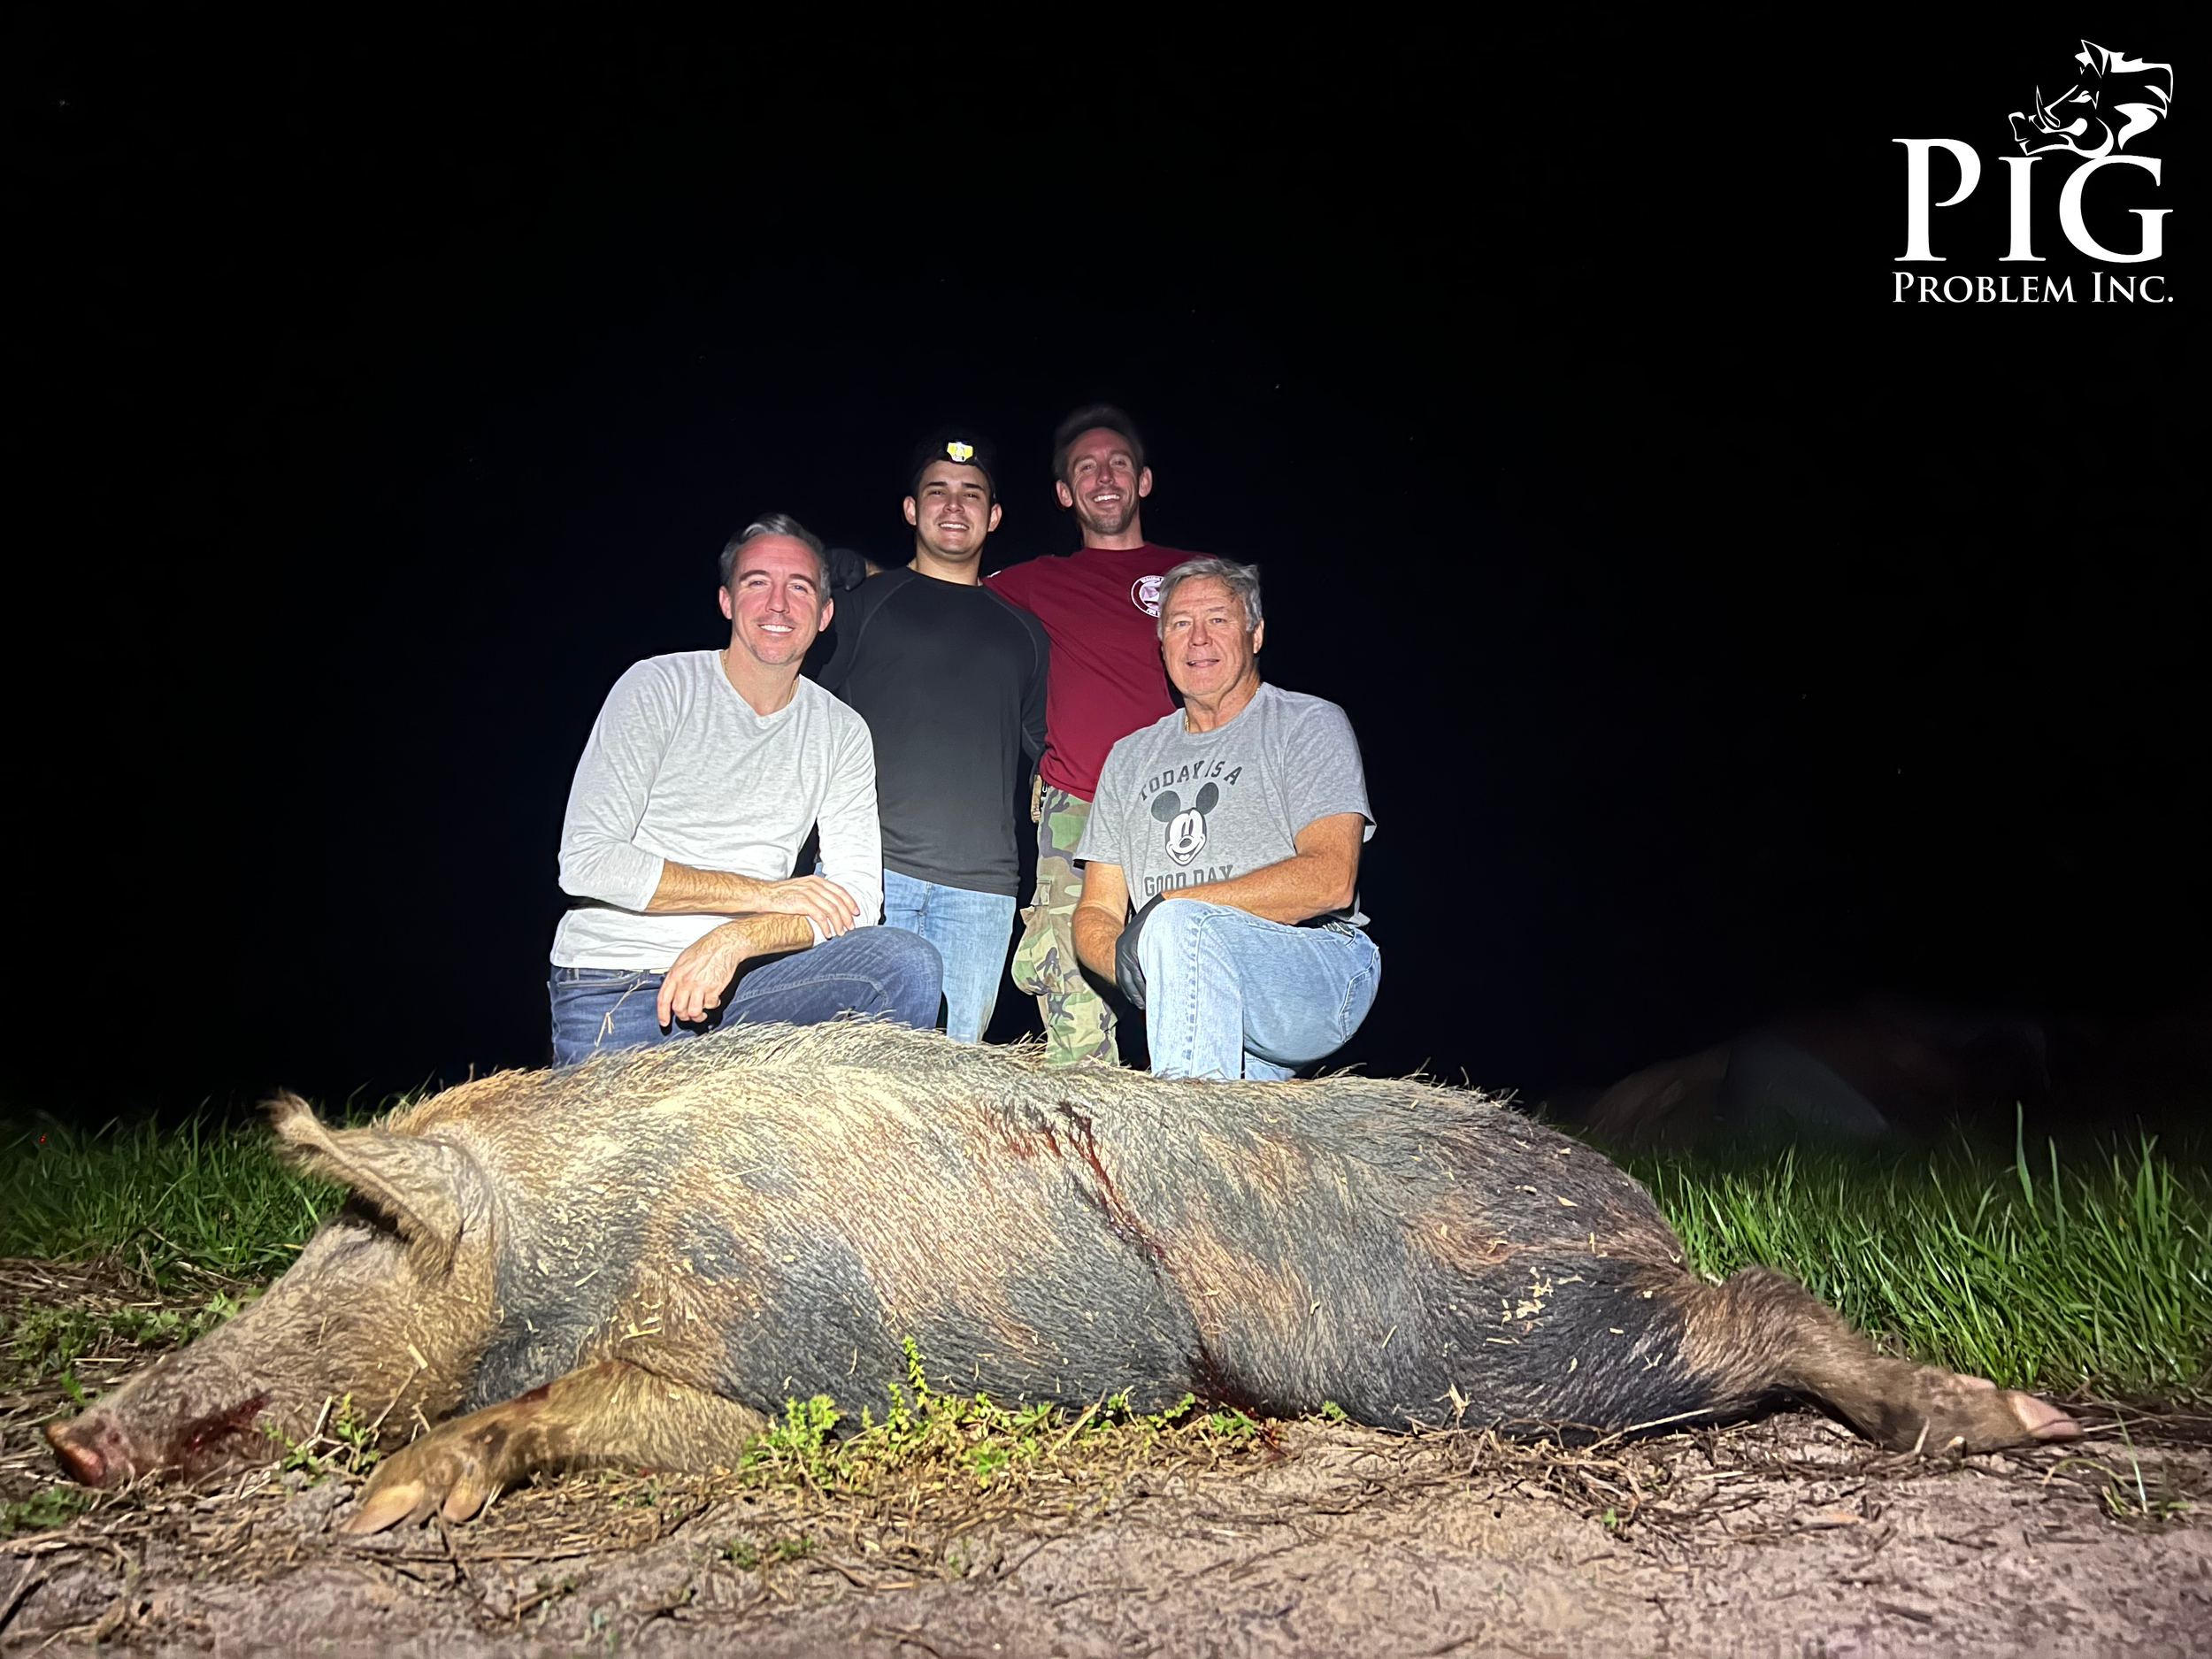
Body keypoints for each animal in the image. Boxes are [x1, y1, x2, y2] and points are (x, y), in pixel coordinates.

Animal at [48, 1021, 2076, 1532]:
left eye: (353, 1243)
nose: (70, 1438)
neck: (598, 1235)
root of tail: (1624, 1195)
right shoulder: (742, 1398)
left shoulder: (780, 1372)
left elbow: (551, 1403)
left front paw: (387, 1506)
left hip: (1510, 1347)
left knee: (1762, 1297)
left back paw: (2017, 1420)